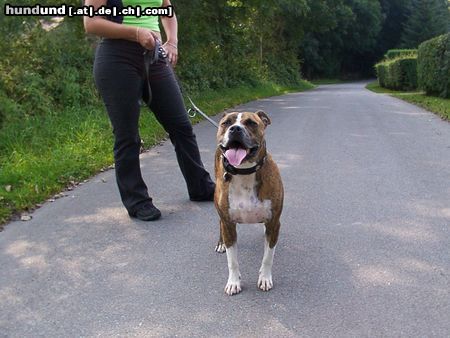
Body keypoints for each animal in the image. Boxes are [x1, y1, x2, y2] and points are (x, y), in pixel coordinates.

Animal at [213, 109, 284, 294]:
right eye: (226, 123)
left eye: (251, 123)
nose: (235, 129)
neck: (244, 172)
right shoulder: (228, 223)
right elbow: (232, 261)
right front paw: (233, 282)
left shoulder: (274, 222)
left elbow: (268, 257)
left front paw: (265, 278)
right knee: (219, 223)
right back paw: (221, 244)